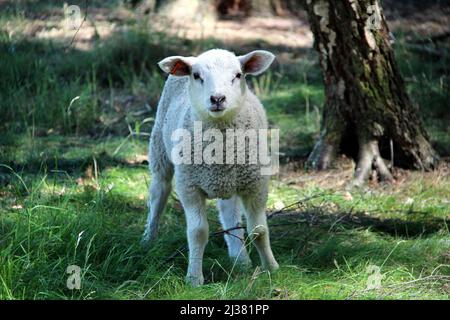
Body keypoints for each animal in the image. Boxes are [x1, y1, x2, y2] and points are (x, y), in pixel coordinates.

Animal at [142, 48, 280, 286]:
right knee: (158, 194)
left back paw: (240, 259)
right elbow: (197, 232)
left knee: (229, 213)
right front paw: (194, 278)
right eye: (197, 76)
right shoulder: (189, 187)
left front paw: (271, 268)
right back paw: (148, 239)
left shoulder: (255, 184)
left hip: (232, 181)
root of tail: (189, 56)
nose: (217, 98)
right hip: (160, 149)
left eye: (238, 75)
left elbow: (259, 230)